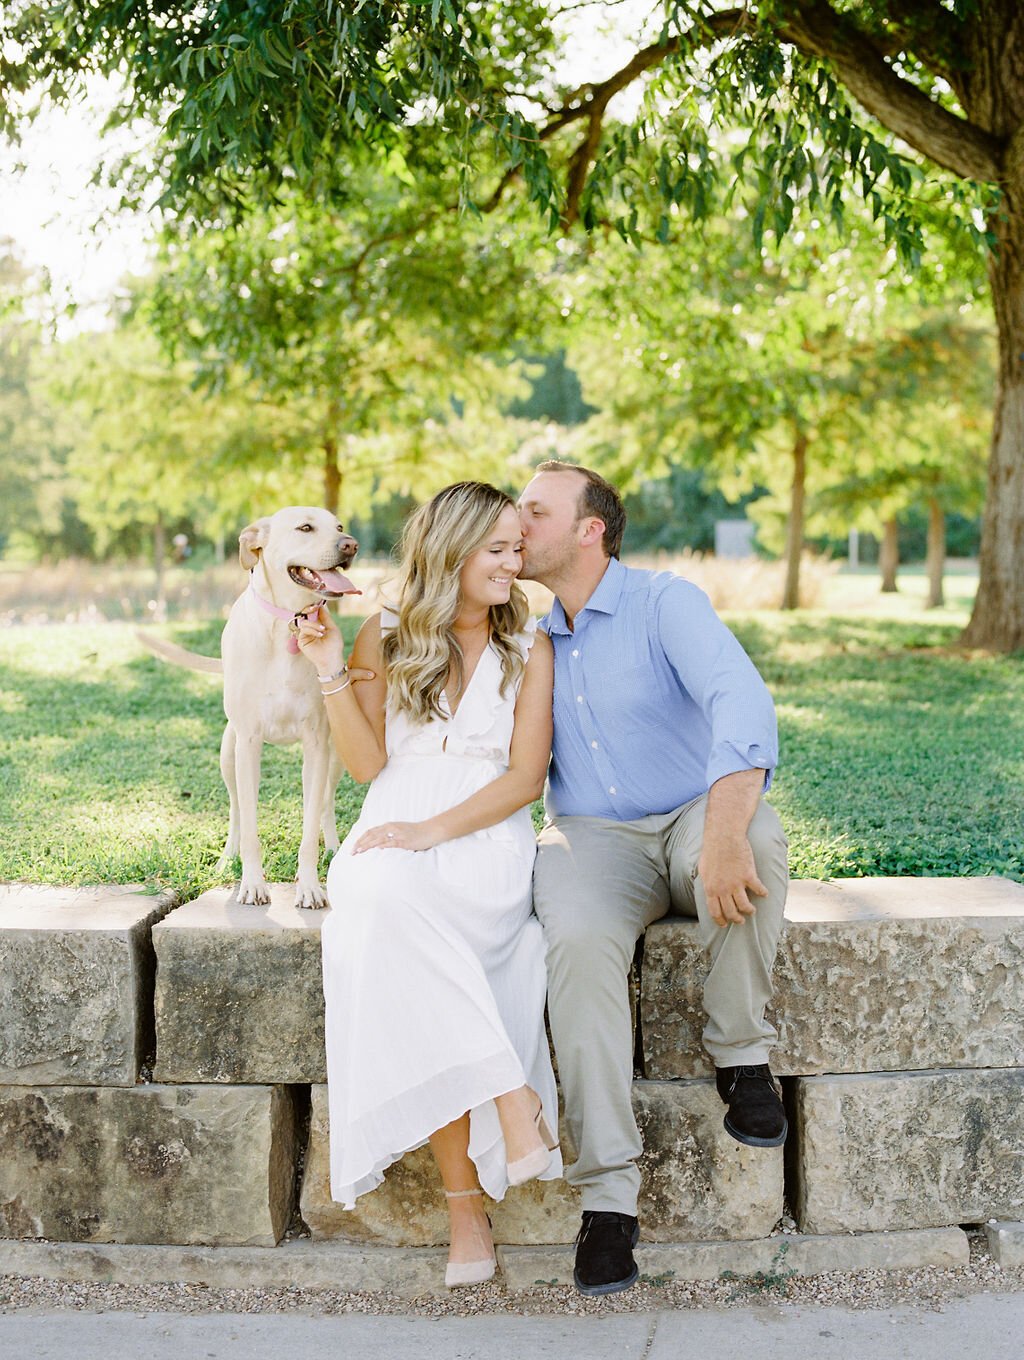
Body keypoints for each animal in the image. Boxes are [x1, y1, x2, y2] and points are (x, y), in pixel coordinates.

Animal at [138, 505, 364, 908]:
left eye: (339, 526)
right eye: (305, 528)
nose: (350, 544)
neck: (288, 624)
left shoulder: (316, 745)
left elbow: (309, 825)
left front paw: (309, 884)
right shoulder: (248, 743)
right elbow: (250, 824)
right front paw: (252, 883)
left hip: (335, 756)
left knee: (325, 803)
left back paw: (333, 846)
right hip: (229, 755)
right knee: (236, 810)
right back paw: (228, 857)